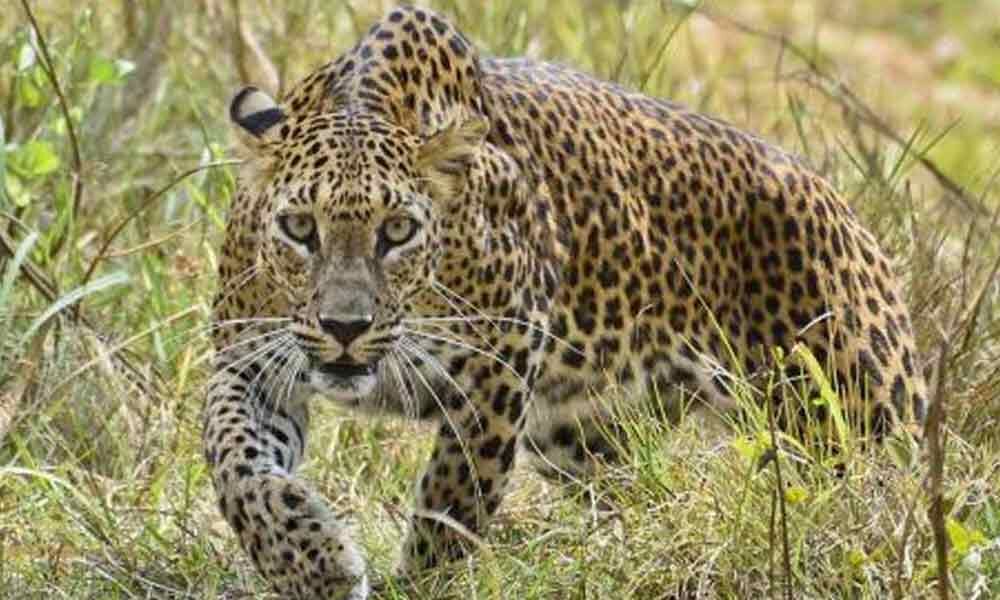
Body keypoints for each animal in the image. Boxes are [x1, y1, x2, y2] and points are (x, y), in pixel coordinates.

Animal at [199, 5, 924, 600]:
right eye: (300, 228)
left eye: (397, 230)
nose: (345, 327)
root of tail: (839, 202)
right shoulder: (250, 361)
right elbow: (235, 463)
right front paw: (311, 562)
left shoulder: (495, 372)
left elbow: (450, 504)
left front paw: (414, 582)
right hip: (583, 434)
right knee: (643, 494)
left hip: (855, 414)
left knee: (894, 499)